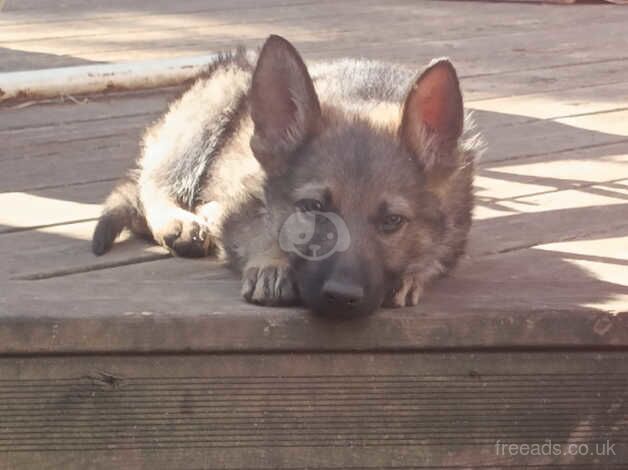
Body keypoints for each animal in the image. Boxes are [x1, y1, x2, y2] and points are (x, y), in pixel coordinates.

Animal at [91, 35, 478, 316]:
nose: (342, 298)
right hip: (211, 108)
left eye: (393, 222)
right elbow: (256, 228)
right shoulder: (244, 202)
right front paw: (271, 262)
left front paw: (411, 275)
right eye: (312, 208)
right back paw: (180, 220)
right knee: (152, 184)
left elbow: (437, 254)